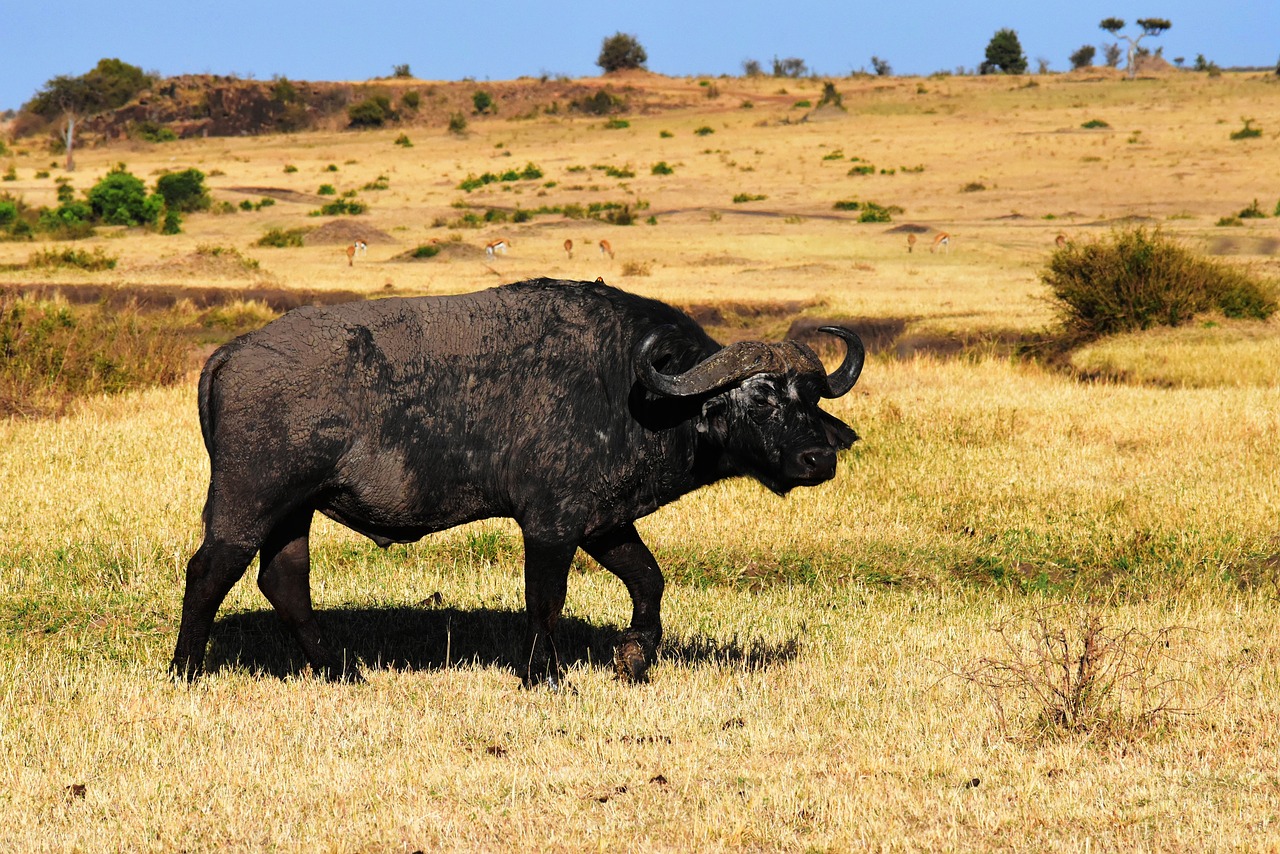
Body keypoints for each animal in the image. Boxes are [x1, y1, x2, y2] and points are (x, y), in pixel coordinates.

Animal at [170, 280, 865, 686]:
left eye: (809, 397)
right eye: (761, 397)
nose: (816, 459)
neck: (639, 392)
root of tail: (230, 353)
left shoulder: (606, 523)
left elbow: (649, 581)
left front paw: (634, 657)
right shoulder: (551, 525)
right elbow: (546, 599)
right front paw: (545, 675)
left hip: (294, 511)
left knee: (283, 581)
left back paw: (342, 671)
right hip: (249, 503)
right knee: (208, 573)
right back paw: (185, 670)